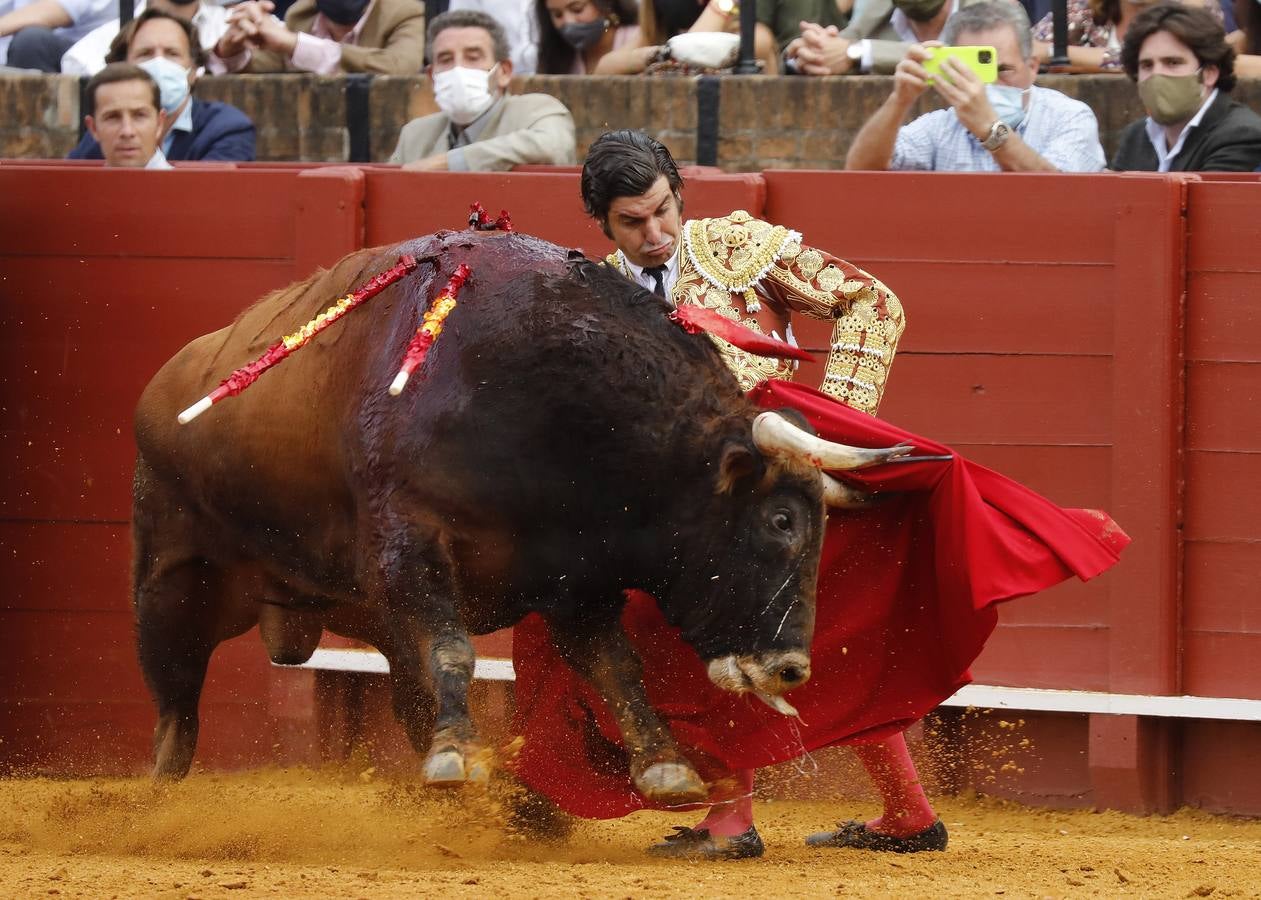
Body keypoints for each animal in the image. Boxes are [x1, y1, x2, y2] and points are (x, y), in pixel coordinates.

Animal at [133, 229, 907, 801]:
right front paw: (457, 758)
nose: (791, 670)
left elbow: (615, 665)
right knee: (176, 708)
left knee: (406, 692)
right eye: (781, 522)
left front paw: (665, 767)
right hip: (170, 581)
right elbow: (454, 648)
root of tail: (165, 380)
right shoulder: (412, 544)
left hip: (362, 611)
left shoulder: (578, 580)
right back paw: (158, 807)